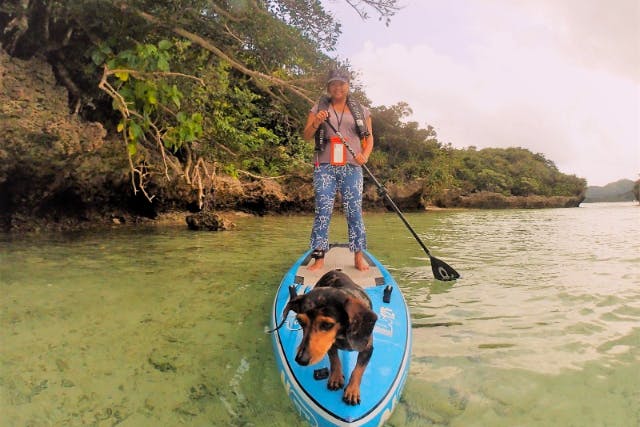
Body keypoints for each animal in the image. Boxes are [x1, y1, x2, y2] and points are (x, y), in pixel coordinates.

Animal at [282, 270, 378, 404]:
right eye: (300, 321)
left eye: (327, 324)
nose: (300, 360)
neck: (342, 334)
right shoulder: (329, 345)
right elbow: (334, 360)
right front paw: (336, 378)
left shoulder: (367, 349)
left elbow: (359, 370)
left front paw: (352, 390)